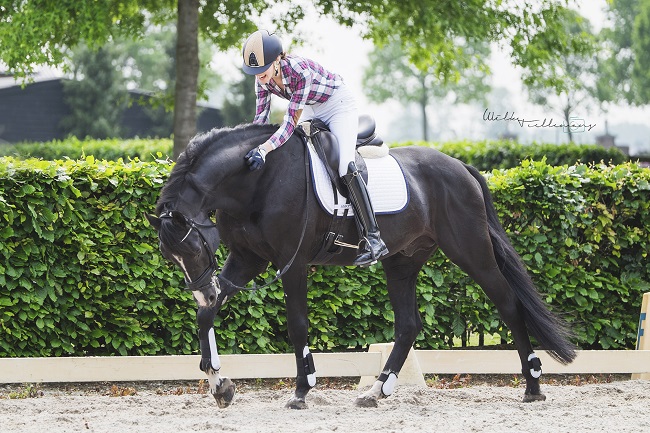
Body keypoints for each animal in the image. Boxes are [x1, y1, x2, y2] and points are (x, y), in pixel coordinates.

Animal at [146, 122, 572, 408]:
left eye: (194, 246)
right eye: (170, 256)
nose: (203, 288)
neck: (258, 179)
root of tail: (461, 167)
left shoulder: (291, 263)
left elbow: (297, 325)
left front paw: (303, 389)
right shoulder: (247, 259)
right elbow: (206, 316)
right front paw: (220, 385)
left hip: (471, 251)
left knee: (508, 304)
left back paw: (533, 386)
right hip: (402, 262)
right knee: (408, 325)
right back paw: (377, 390)